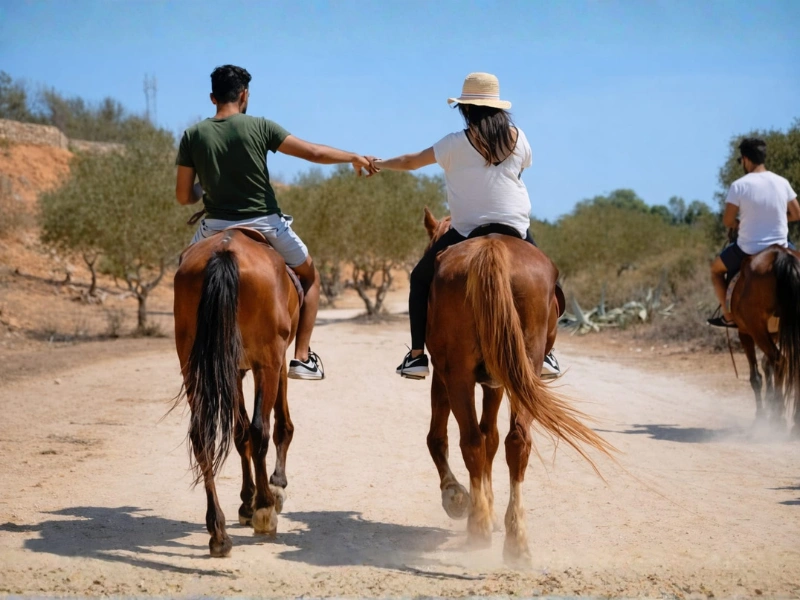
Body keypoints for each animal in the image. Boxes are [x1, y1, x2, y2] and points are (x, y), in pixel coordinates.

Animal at [173, 228, 300, 557]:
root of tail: (225, 251)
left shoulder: (233, 368)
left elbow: (239, 433)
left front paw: (246, 501)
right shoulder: (274, 361)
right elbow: (277, 425)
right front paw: (274, 489)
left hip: (194, 365)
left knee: (202, 436)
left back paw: (219, 533)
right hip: (266, 362)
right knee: (260, 430)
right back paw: (265, 510)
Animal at [420, 208, 614, 564]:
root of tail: (491, 249)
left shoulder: (451, 378)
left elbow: (446, 438)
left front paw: (457, 498)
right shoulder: (494, 382)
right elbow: (489, 438)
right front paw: (477, 504)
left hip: (460, 375)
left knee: (474, 440)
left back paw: (481, 525)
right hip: (518, 372)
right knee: (512, 441)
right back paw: (513, 539)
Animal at [728, 244, 800, 433]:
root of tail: (781, 255)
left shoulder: (745, 333)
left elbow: (756, 377)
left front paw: (760, 416)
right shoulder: (774, 333)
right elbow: (767, 366)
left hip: (756, 329)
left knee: (780, 361)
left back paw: (779, 419)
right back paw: (794, 422)